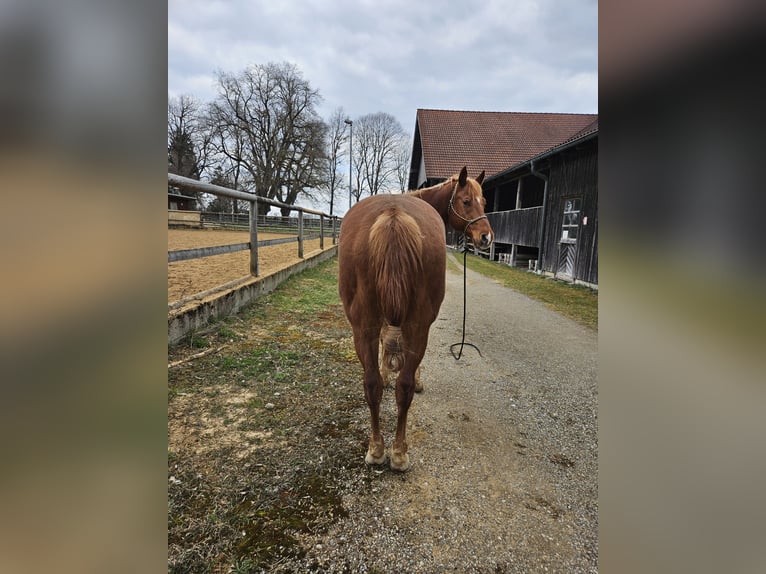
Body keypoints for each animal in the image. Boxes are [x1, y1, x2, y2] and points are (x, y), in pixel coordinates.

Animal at [338, 166, 493, 471]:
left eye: (484, 201)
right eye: (467, 201)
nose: (486, 237)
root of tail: (393, 215)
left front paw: (387, 371)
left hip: (363, 327)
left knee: (373, 384)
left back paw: (380, 450)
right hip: (416, 326)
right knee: (403, 385)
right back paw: (397, 452)